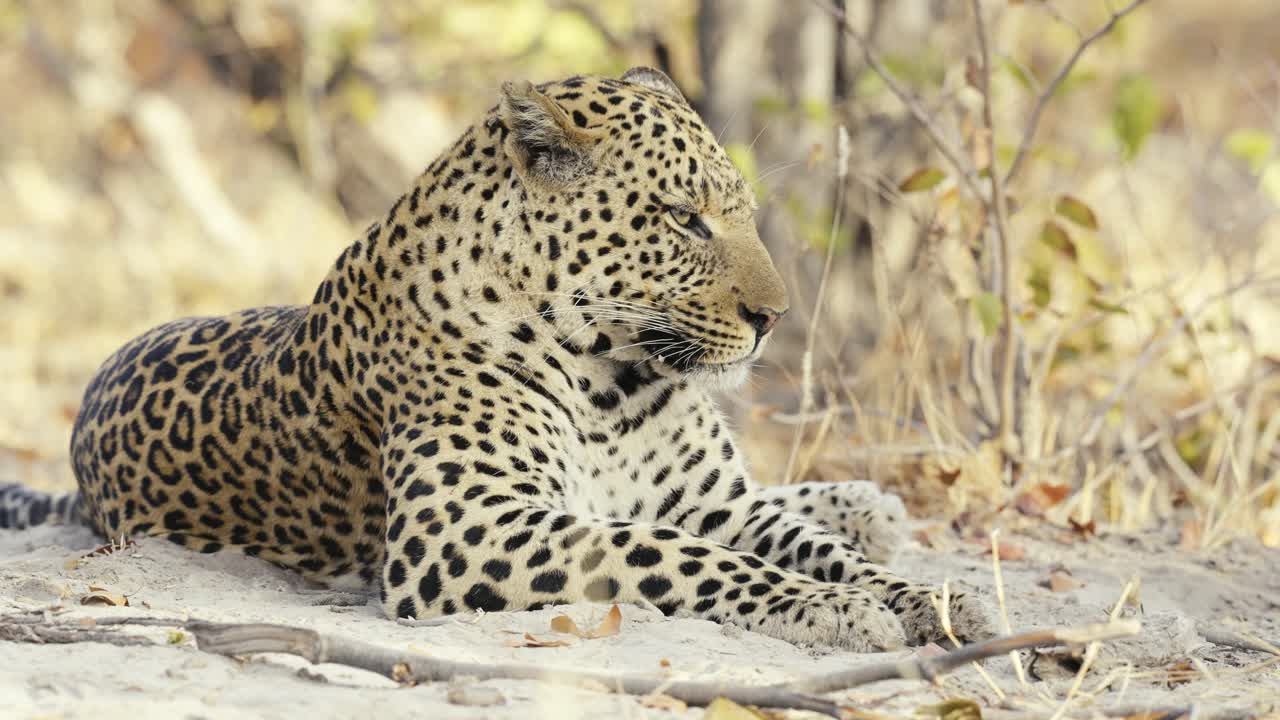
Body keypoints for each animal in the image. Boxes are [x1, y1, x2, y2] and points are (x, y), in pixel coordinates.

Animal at [1, 67, 989, 651]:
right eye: (683, 219)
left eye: (741, 213)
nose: (774, 318)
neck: (614, 383)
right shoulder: (465, 528)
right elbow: (666, 551)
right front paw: (836, 612)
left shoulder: (710, 500)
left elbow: (807, 547)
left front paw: (930, 602)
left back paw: (867, 503)